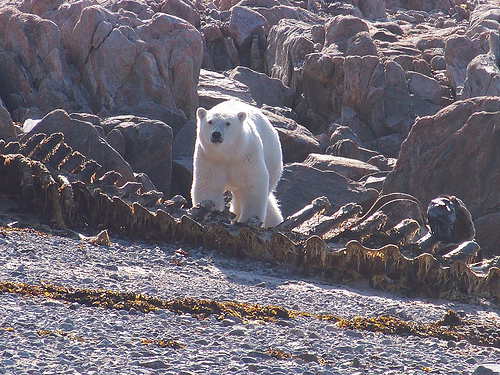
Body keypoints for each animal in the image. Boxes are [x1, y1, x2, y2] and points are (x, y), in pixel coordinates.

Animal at [191, 100, 284, 228]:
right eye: (210, 121)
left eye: (228, 123)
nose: (216, 134)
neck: (228, 154)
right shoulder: (210, 158)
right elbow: (209, 185)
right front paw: (209, 212)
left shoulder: (246, 156)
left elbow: (253, 186)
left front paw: (247, 220)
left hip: (272, 159)